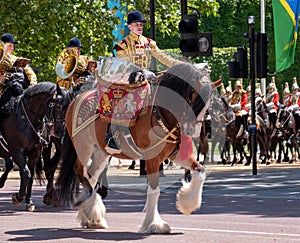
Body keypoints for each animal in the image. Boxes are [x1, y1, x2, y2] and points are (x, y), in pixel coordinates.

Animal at [55, 59, 221, 234]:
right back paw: (91, 208)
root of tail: (76, 99)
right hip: (84, 147)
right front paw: (154, 223)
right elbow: (154, 191)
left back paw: (91, 216)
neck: (160, 113)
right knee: (80, 171)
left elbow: (200, 170)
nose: (193, 131)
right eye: (193, 99)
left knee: (91, 176)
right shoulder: (152, 159)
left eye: (209, 104)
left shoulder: (174, 155)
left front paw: (186, 204)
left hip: (101, 152)